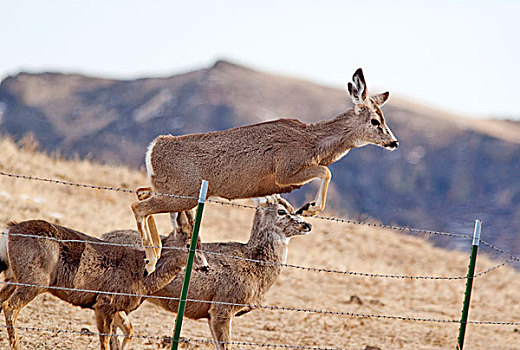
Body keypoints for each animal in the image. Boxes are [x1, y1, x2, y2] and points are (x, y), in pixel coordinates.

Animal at [0, 213, 207, 350]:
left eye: (201, 244)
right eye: (189, 245)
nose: (205, 267)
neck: (144, 274)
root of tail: (9, 229)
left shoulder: (115, 306)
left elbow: (129, 331)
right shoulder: (105, 302)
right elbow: (106, 340)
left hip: (14, 277)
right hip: (35, 279)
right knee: (10, 306)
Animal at [134, 66, 398, 274]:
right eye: (375, 121)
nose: (393, 142)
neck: (313, 143)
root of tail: (154, 147)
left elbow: (325, 171)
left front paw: (309, 207)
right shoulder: (285, 170)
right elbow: (326, 171)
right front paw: (311, 208)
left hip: (167, 187)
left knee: (141, 193)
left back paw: (154, 255)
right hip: (182, 193)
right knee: (139, 207)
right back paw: (151, 261)